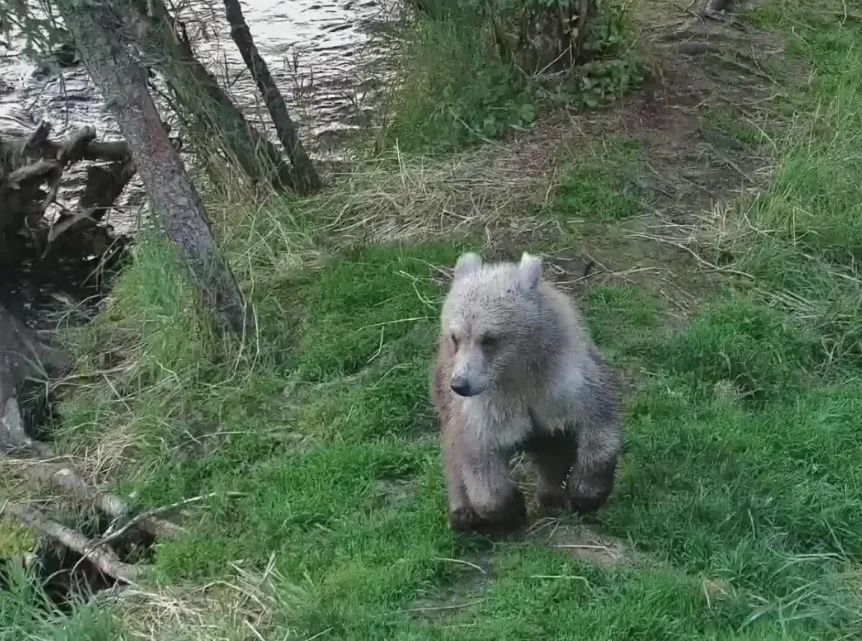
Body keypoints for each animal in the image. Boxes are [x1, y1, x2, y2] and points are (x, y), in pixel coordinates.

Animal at [430, 250, 623, 533]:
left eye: (489, 338)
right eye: (456, 336)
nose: (461, 384)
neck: (518, 376)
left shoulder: (566, 383)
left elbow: (599, 424)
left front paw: (585, 493)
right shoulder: (484, 409)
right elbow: (479, 462)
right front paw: (511, 512)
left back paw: (551, 494)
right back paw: (464, 515)